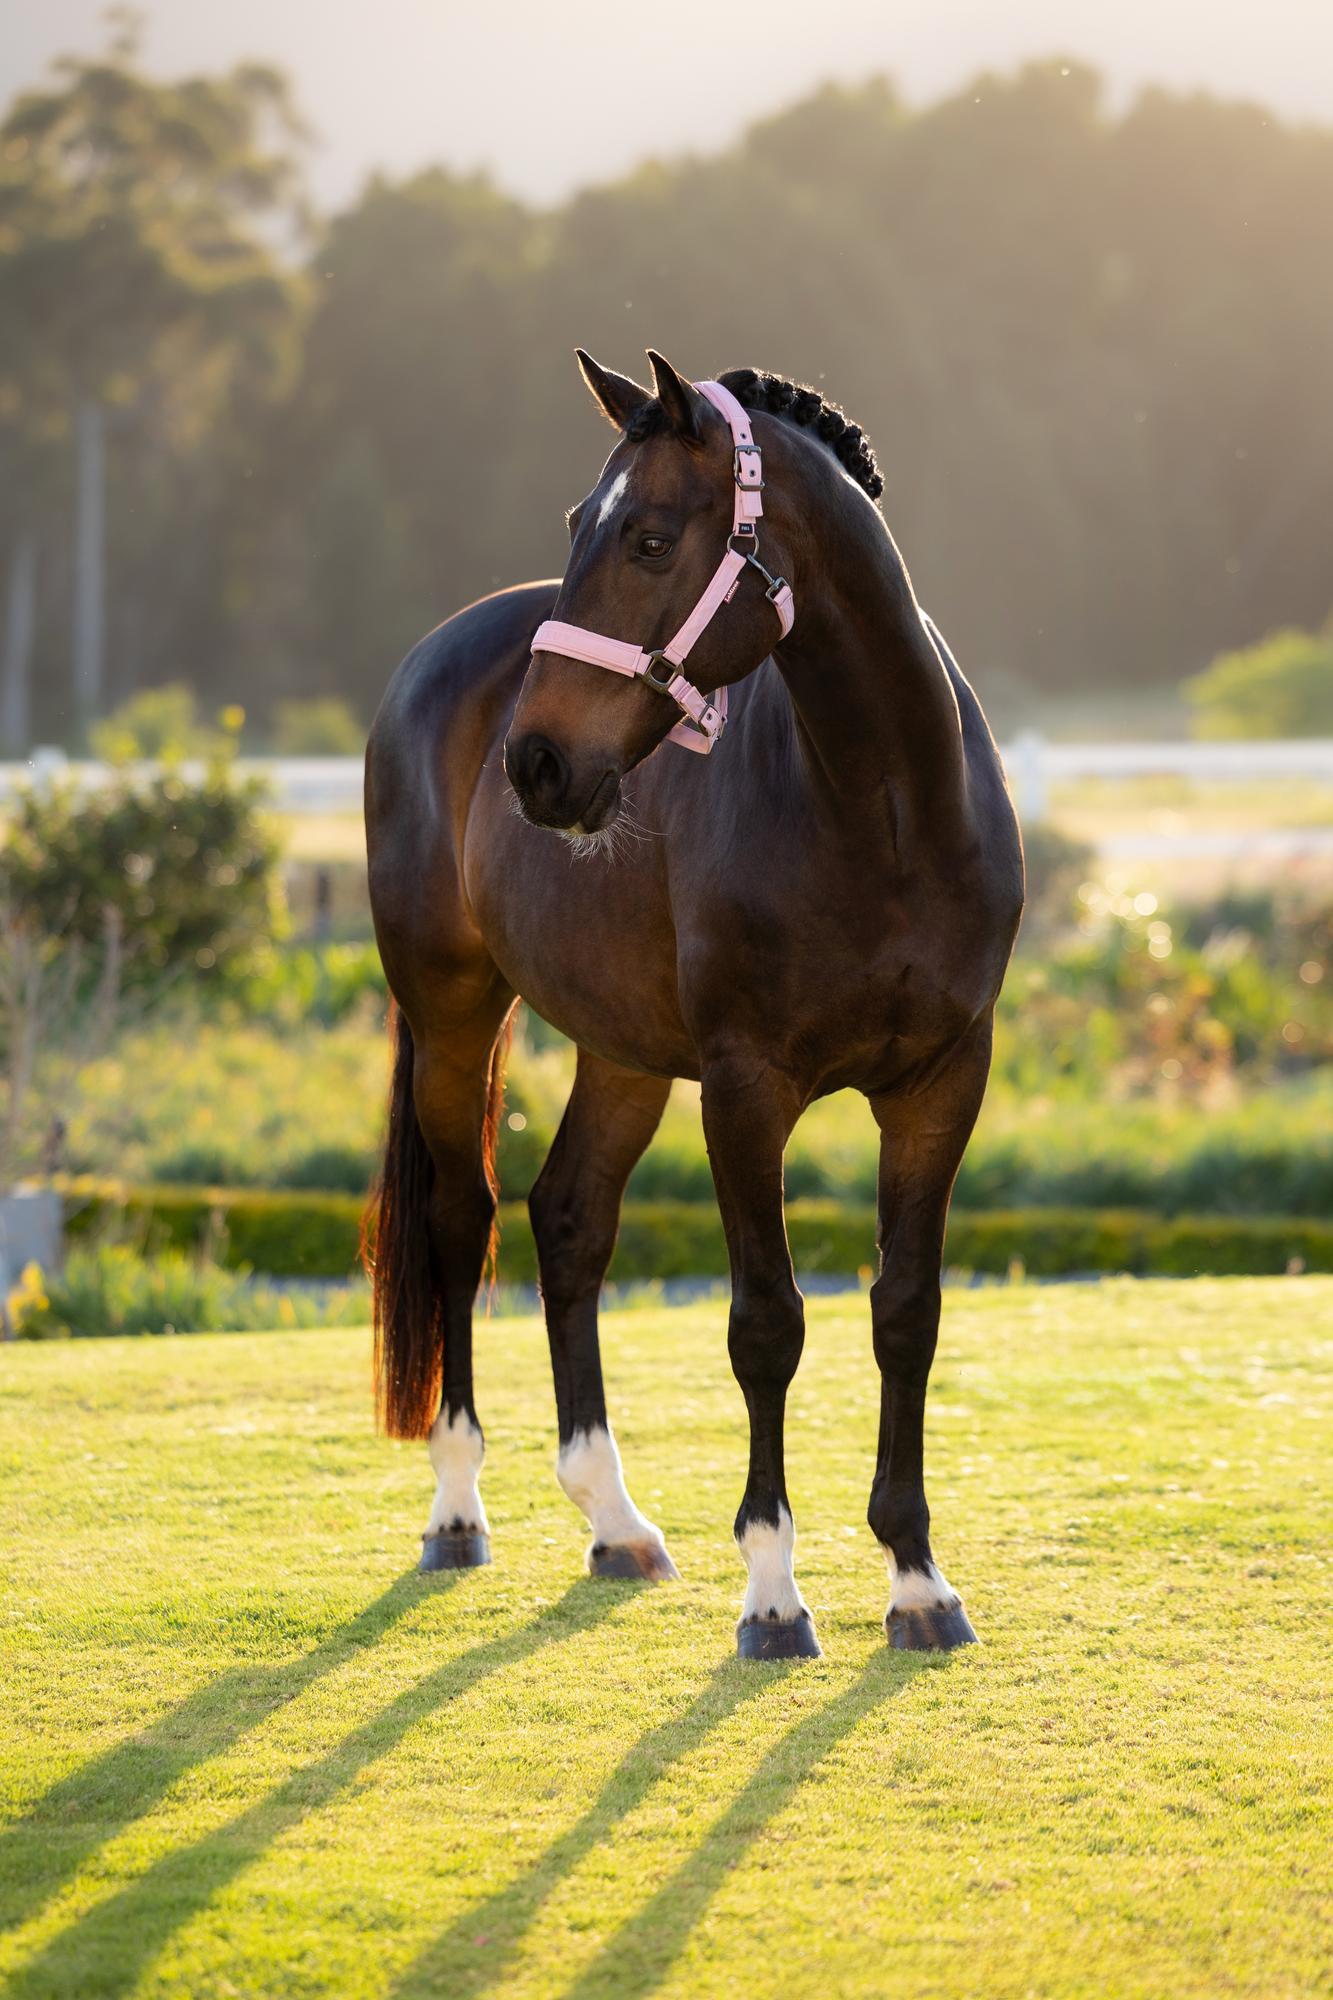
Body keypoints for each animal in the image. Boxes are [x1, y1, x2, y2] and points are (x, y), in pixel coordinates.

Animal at [365, 350, 1023, 1659]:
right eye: (581, 522)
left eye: (652, 537)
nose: (535, 764)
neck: (883, 806)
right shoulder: (743, 1085)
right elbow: (765, 1322)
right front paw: (773, 1590)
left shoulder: (940, 1081)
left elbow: (905, 1311)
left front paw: (917, 1579)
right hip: (455, 1014)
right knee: (463, 1221)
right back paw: (458, 1507)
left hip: (622, 1049)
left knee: (567, 1217)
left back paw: (613, 1516)